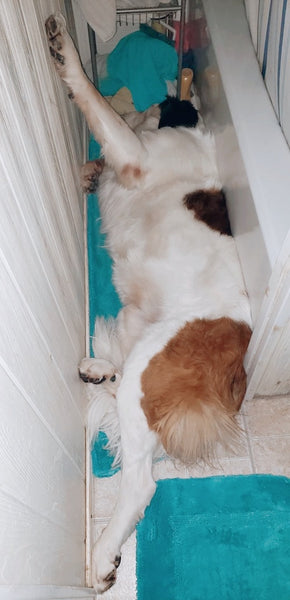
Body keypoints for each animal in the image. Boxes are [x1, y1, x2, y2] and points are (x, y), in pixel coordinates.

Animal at [45, 15, 251, 596]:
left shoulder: (133, 155)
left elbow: (95, 103)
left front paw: (65, 54)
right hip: (137, 329)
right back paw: (98, 370)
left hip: (150, 360)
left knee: (141, 485)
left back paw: (103, 555)